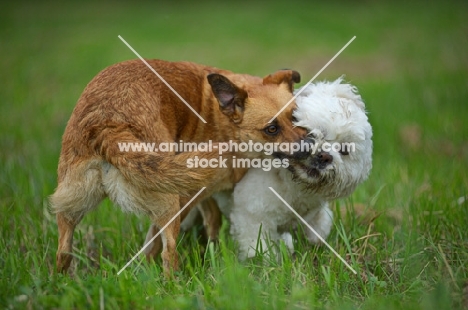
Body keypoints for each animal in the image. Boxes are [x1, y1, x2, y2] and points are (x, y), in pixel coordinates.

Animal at [49, 59, 306, 274]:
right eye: (271, 129)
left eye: (296, 119)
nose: (308, 147)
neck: (220, 117)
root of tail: (108, 123)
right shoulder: (189, 196)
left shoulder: (202, 192)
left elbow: (212, 220)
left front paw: (212, 251)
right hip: (170, 203)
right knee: (168, 253)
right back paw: (170, 284)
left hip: (72, 203)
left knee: (63, 251)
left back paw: (60, 282)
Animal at [228, 77, 372, 260]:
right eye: (310, 133)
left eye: (345, 150)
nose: (325, 156)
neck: (293, 183)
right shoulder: (251, 215)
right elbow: (260, 247)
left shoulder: (314, 214)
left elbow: (318, 230)